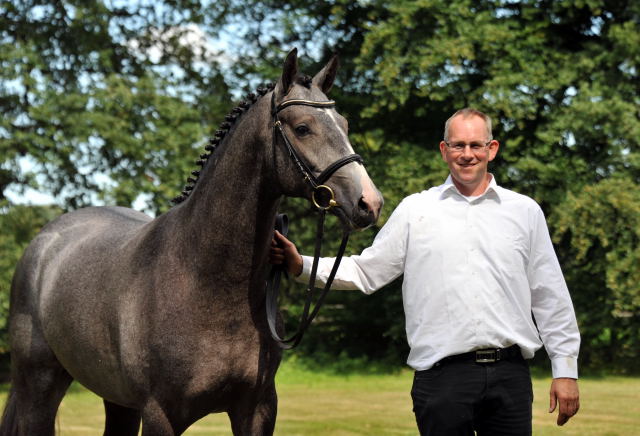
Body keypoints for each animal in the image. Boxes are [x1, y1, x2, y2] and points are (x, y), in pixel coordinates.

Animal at [0, 49, 382, 436]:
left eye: (344, 125)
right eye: (303, 127)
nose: (369, 202)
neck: (204, 280)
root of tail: (45, 240)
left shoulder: (258, 408)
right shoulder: (161, 413)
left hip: (117, 398)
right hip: (39, 385)